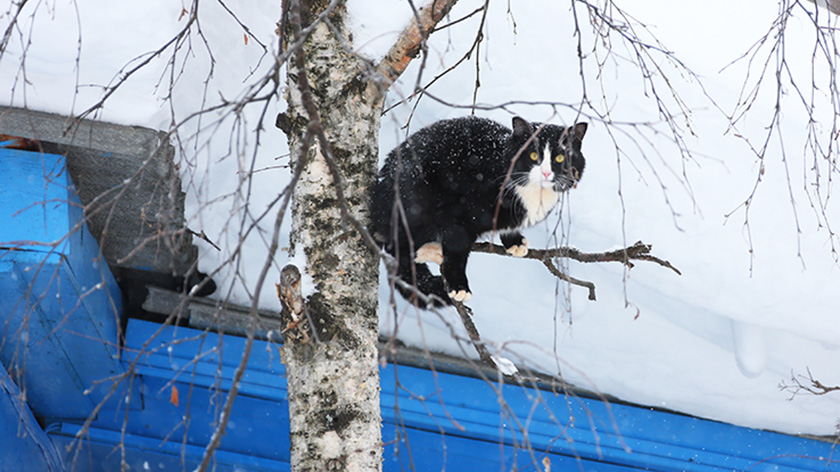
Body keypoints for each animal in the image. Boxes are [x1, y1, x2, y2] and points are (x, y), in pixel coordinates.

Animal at [370, 114, 588, 306]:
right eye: (534, 155)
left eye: (560, 158)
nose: (546, 173)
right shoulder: (459, 216)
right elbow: (457, 250)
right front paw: (459, 286)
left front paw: (514, 241)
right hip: (416, 200)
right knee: (397, 246)